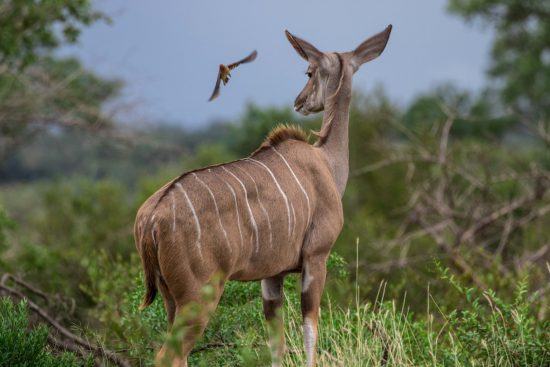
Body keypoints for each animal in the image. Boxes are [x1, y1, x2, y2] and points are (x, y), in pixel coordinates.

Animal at [138, 24, 396, 366]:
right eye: (308, 70)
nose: (299, 102)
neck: (326, 162)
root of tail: (151, 217)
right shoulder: (316, 258)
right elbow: (310, 331)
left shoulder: (272, 275)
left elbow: (277, 342)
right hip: (199, 295)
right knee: (168, 355)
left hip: (171, 298)